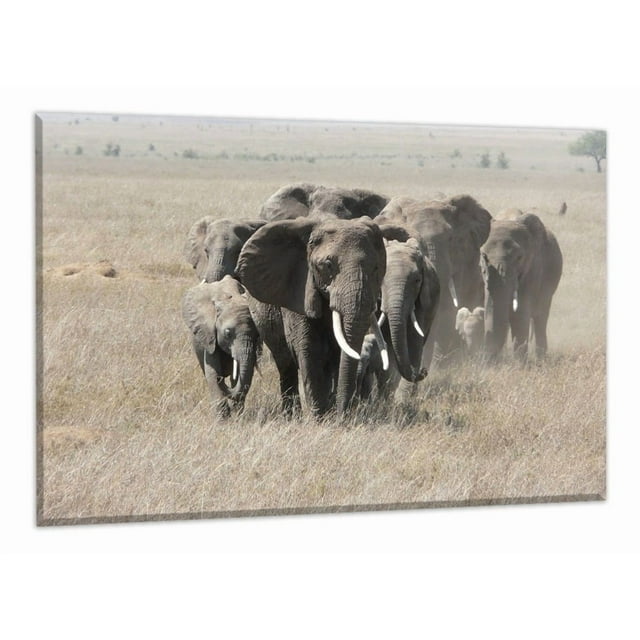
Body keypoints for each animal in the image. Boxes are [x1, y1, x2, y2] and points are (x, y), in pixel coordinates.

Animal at [182, 276, 260, 418]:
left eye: (257, 335)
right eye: (228, 333)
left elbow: (241, 376)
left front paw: (237, 417)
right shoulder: (209, 335)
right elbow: (212, 373)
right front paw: (223, 420)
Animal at [236, 215, 396, 417]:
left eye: (376, 268)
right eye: (328, 265)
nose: (343, 414)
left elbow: (338, 353)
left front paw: (332, 414)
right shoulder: (300, 290)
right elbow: (310, 349)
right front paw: (319, 418)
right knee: (285, 363)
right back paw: (292, 415)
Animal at [480, 210, 563, 361]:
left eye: (519, 257)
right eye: (483, 255)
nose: (488, 360)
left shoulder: (534, 269)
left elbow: (520, 312)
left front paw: (519, 363)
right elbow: (490, 308)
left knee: (540, 317)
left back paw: (541, 359)